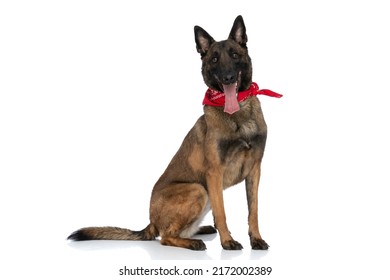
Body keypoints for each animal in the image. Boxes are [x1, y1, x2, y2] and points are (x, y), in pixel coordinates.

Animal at [68, 15, 280, 250]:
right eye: (214, 59)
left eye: (234, 55)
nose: (227, 77)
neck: (238, 114)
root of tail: (151, 221)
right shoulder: (214, 173)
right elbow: (222, 212)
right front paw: (228, 241)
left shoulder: (255, 169)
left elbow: (254, 211)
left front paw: (256, 238)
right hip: (198, 189)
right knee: (166, 237)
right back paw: (193, 242)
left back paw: (200, 231)